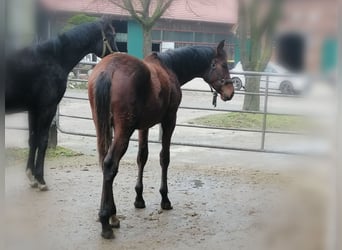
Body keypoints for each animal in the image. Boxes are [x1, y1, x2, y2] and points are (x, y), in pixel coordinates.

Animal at [5, 18, 119, 190]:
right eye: (111, 35)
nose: (116, 56)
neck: (53, 58)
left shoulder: (34, 109)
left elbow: (33, 139)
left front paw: (31, 176)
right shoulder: (47, 108)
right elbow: (43, 141)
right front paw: (41, 180)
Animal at [87, 40, 235, 238]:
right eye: (223, 65)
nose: (230, 92)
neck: (168, 67)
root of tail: (108, 70)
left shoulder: (144, 126)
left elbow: (142, 157)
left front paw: (139, 199)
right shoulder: (169, 120)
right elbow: (164, 157)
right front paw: (165, 199)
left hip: (102, 126)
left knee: (104, 162)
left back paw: (113, 216)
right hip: (123, 130)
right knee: (110, 164)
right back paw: (106, 223)